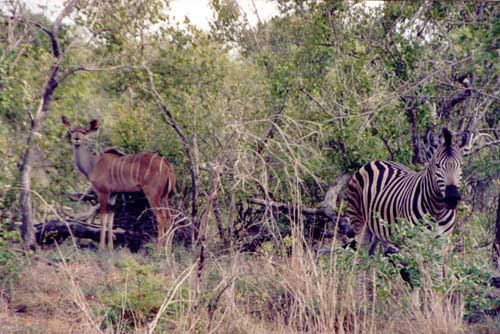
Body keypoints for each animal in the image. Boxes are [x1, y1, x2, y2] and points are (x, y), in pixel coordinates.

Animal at [62, 117, 176, 250]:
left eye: (84, 132)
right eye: (71, 131)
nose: (76, 139)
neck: (93, 164)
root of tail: (167, 166)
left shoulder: (103, 192)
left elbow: (103, 218)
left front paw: (101, 248)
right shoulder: (113, 195)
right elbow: (110, 220)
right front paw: (110, 248)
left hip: (152, 194)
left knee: (160, 217)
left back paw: (159, 250)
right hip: (165, 196)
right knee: (169, 217)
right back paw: (168, 249)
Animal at [346, 126, 470, 254]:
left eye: (461, 165)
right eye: (437, 165)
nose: (452, 198)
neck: (437, 210)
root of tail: (375, 161)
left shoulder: (443, 242)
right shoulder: (412, 241)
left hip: (378, 230)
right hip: (359, 224)